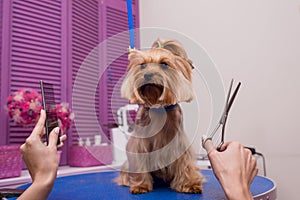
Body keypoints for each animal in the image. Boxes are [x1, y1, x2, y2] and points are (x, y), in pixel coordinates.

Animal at [115, 38, 204, 193]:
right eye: (143, 65)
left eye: (164, 64)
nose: (148, 75)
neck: (157, 106)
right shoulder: (139, 145)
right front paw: (140, 185)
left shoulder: (179, 145)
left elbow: (185, 164)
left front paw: (189, 184)